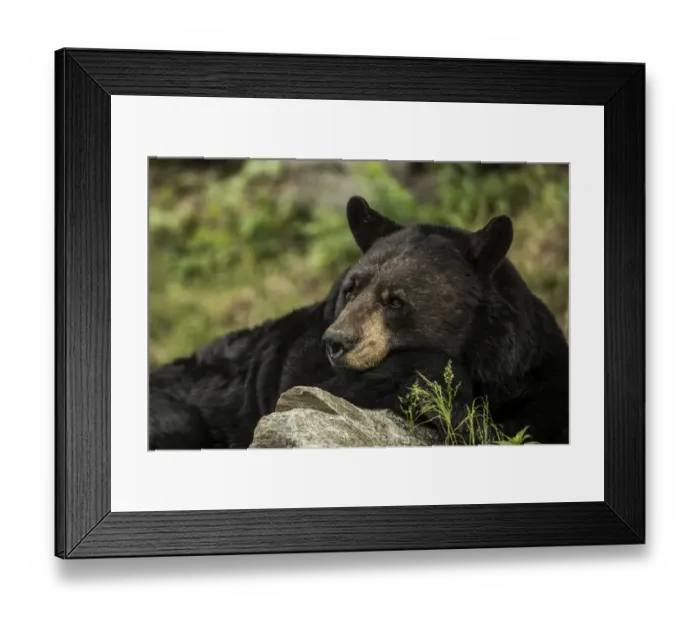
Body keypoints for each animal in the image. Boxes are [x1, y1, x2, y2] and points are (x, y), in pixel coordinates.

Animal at [148, 195, 569, 449]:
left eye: (395, 300)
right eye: (350, 290)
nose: (336, 342)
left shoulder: (537, 366)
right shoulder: (301, 368)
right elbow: (330, 387)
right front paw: (462, 410)